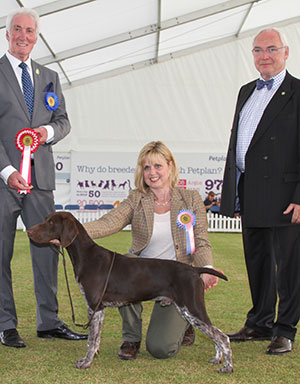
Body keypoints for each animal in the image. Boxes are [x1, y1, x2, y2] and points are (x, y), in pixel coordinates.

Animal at [27, 212, 232, 374]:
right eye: (46, 219)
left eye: (51, 222)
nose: (29, 231)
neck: (86, 257)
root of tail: (195, 269)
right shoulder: (99, 309)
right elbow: (95, 339)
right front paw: (91, 358)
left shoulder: (94, 307)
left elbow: (91, 340)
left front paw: (86, 363)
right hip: (188, 310)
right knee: (215, 334)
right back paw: (217, 359)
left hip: (192, 308)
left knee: (222, 336)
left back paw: (227, 367)